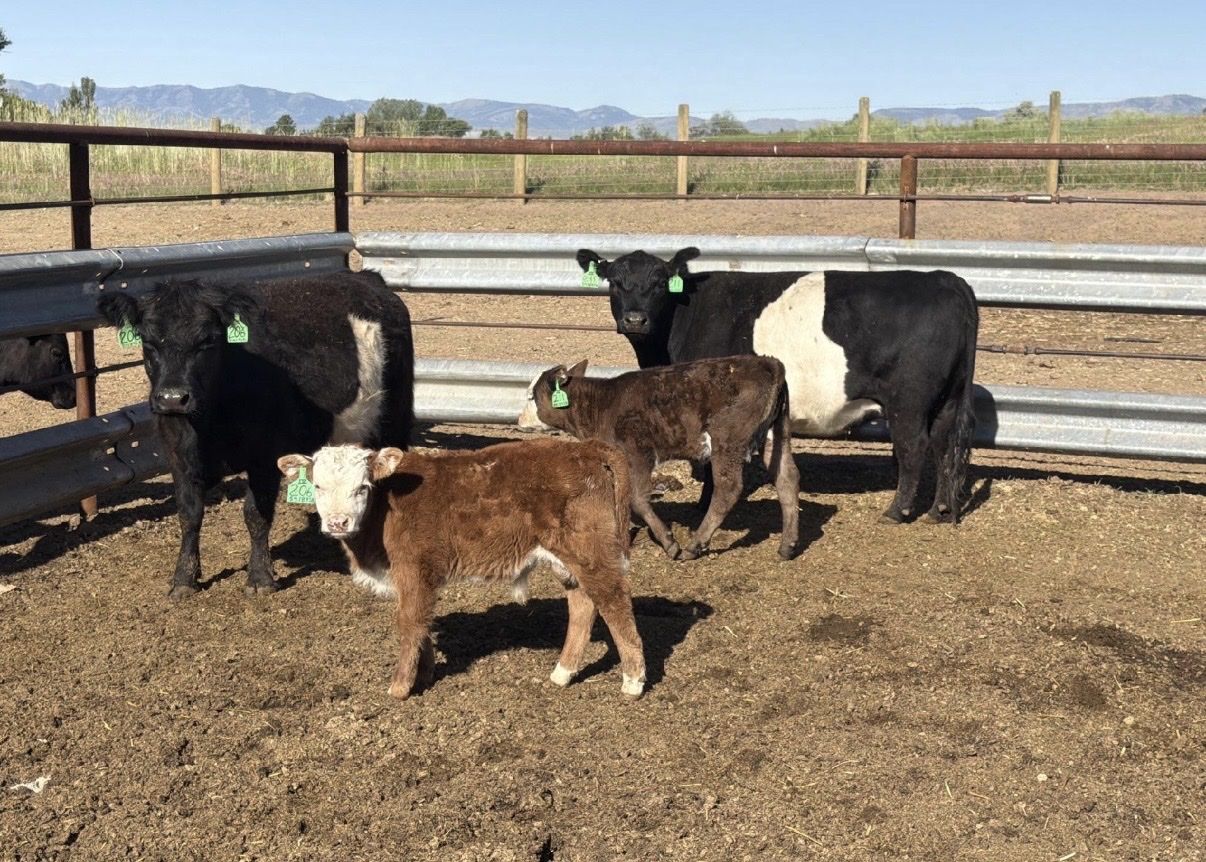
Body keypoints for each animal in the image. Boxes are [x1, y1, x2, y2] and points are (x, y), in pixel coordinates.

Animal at [96, 272, 414, 599]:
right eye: (148, 341)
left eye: (208, 340)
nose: (173, 398)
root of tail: (367, 278)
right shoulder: (178, 455)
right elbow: (189, 514)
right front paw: (184, 578)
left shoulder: (265, 458)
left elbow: (256, 515)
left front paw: (260, 577)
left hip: (394, 420)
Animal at [276, 438, 646, 700]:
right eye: (318, 486)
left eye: (362, 487)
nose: (338, 523)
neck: (384, 510)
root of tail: (585, 447)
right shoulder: (417, 578)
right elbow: (423, 622)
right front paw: (424, 676)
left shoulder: (414, 569)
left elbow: (409, 622)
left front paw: (400, 687)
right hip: (567, 559)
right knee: (583, 605)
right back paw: (562, 673)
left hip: (591, 552)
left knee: (614, 602)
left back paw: (633, 681)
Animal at [518, 356, 800, 561]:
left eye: (531, 396)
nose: (518, 420)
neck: (602, 405)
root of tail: (768, 363)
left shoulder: (638, 452)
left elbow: (638, 498)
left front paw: (668, 541)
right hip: (775, 433)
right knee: (787, 478)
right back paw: (787, 545)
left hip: (727, 440)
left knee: (728, 489)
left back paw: (694, 546)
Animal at [577, 247, 979, 524]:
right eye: (615, 283)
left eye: (660, 283)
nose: (635, 319)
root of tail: (946, 278)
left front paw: (705, 504)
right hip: (948, 398)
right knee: (945, 444)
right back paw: (941, 510)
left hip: (909, 401)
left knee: (914, 448)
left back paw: (897, 511)